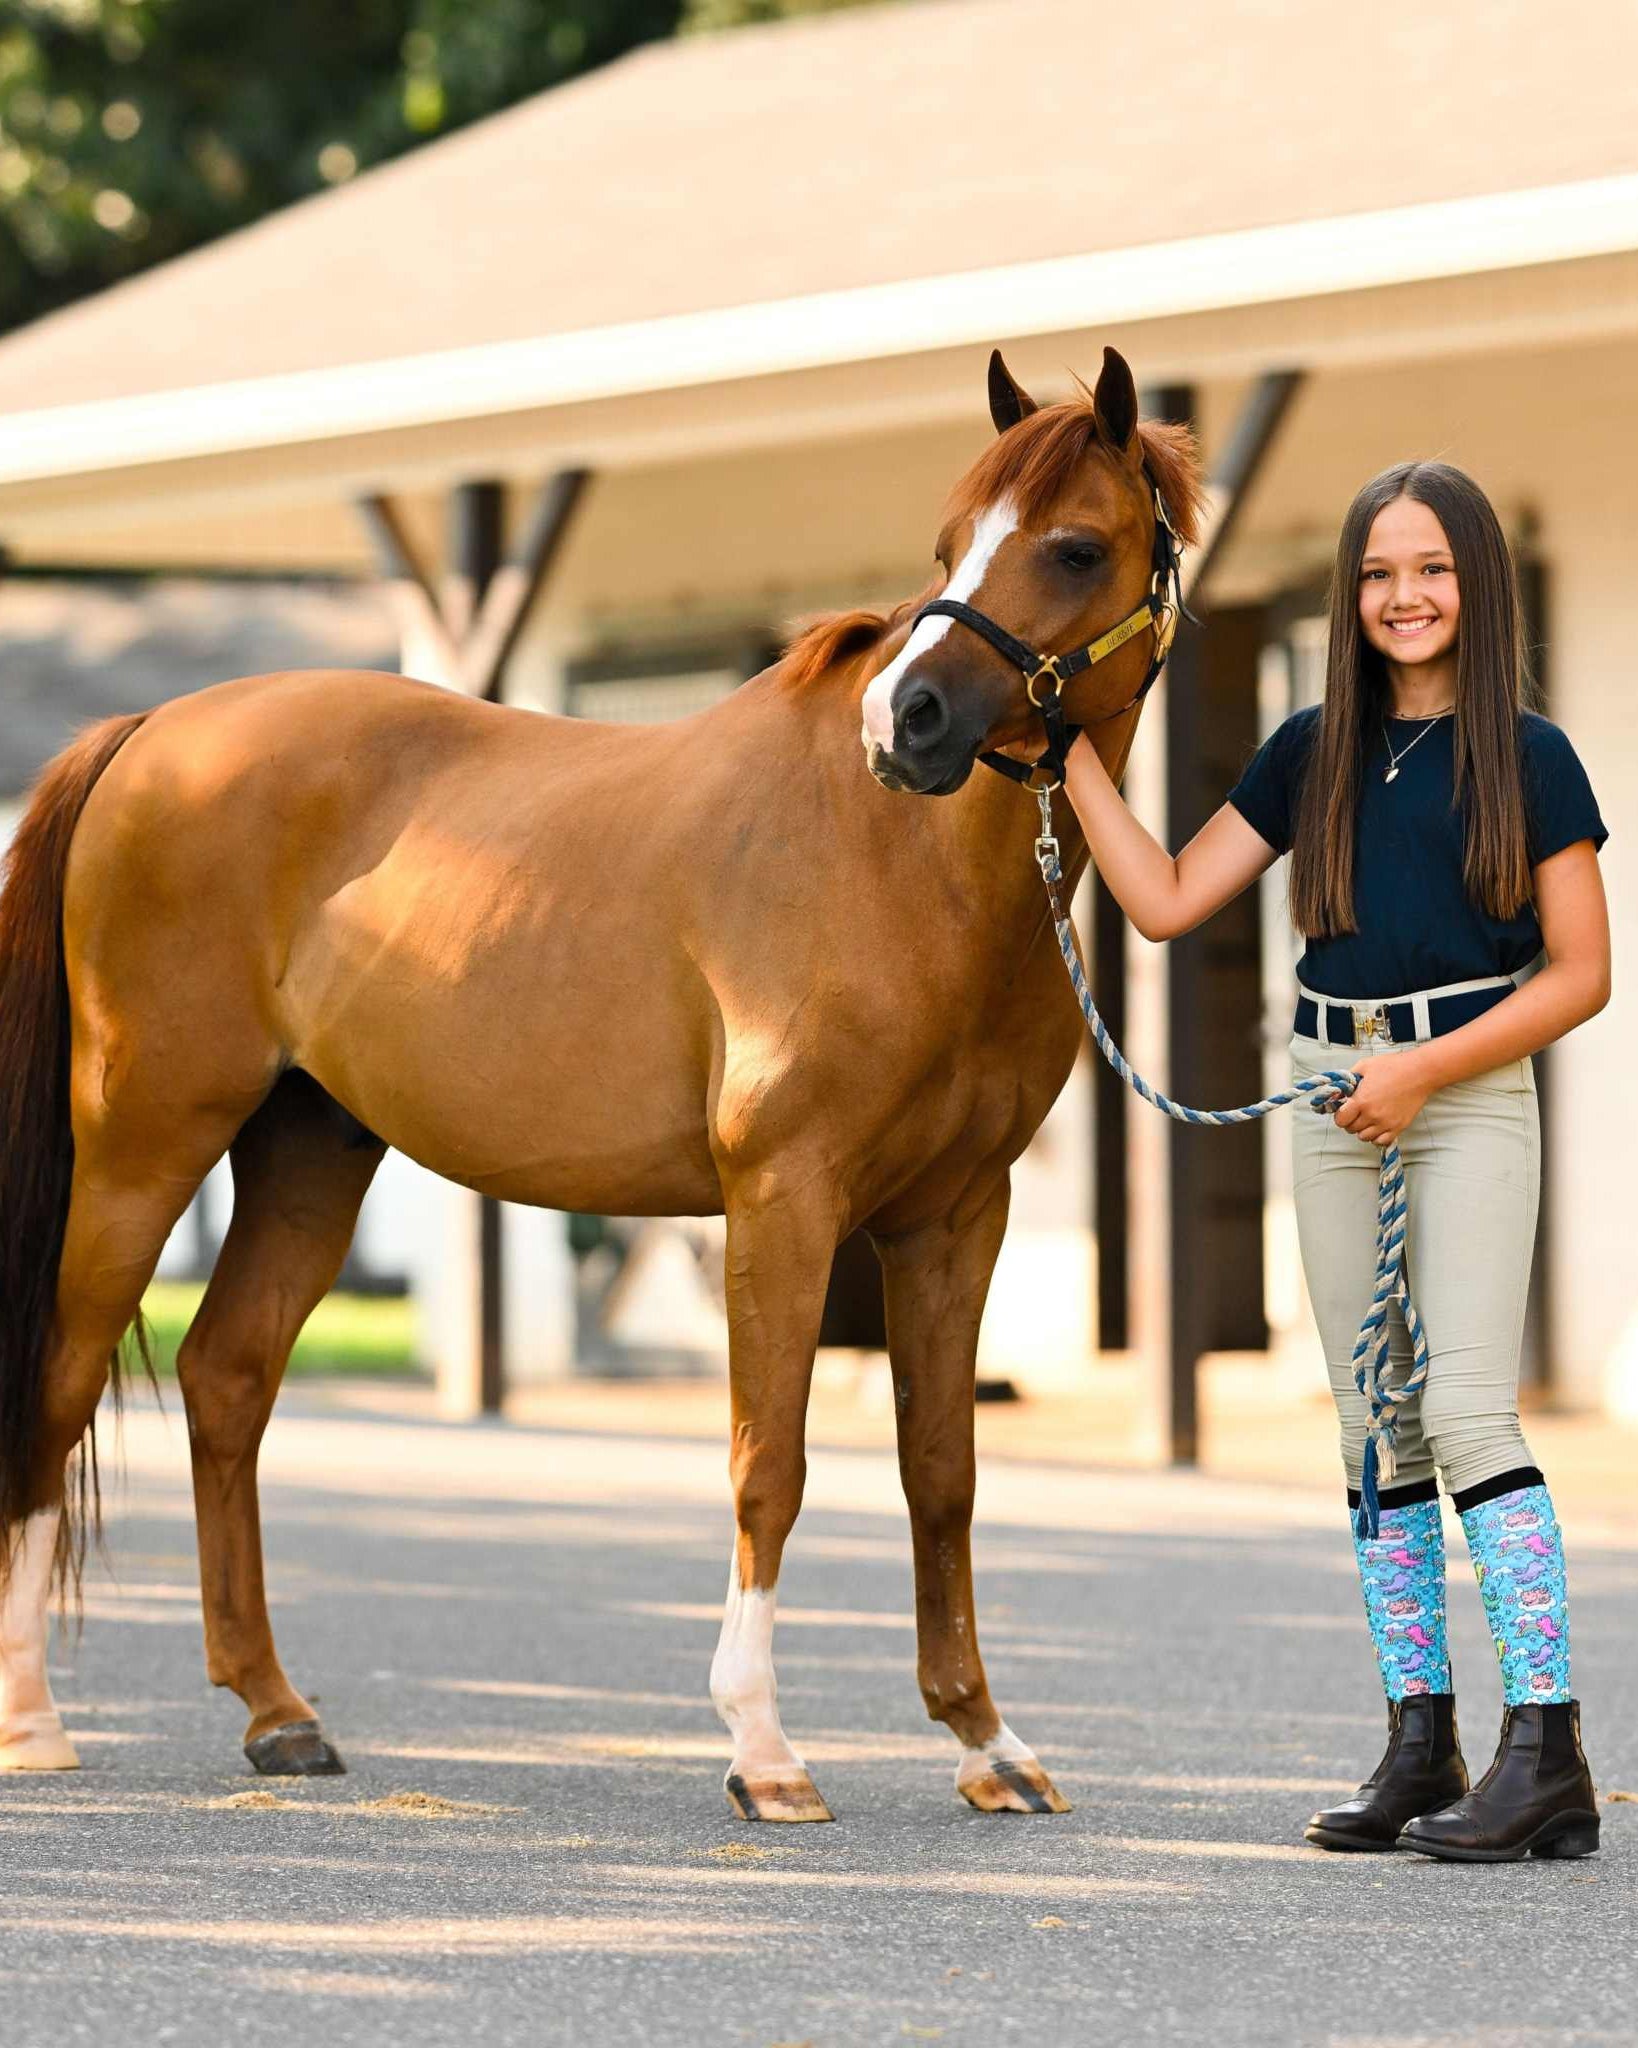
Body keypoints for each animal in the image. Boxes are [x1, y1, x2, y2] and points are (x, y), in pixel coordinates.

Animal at [0, 346, 1202, 1822]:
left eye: (1076, 546)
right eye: (947, 541)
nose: (903, 720)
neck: (897, 864)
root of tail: (149, 731)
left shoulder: (952, 1220)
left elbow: (941, 1475)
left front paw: (987, 1744)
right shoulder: (784, 1202)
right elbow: (767, 1461)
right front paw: (763, 1752)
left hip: (307, 1147)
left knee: (226, 1381)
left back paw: (278, 1715)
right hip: (142, 1143)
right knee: (61, 1380)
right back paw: (36, 1718)